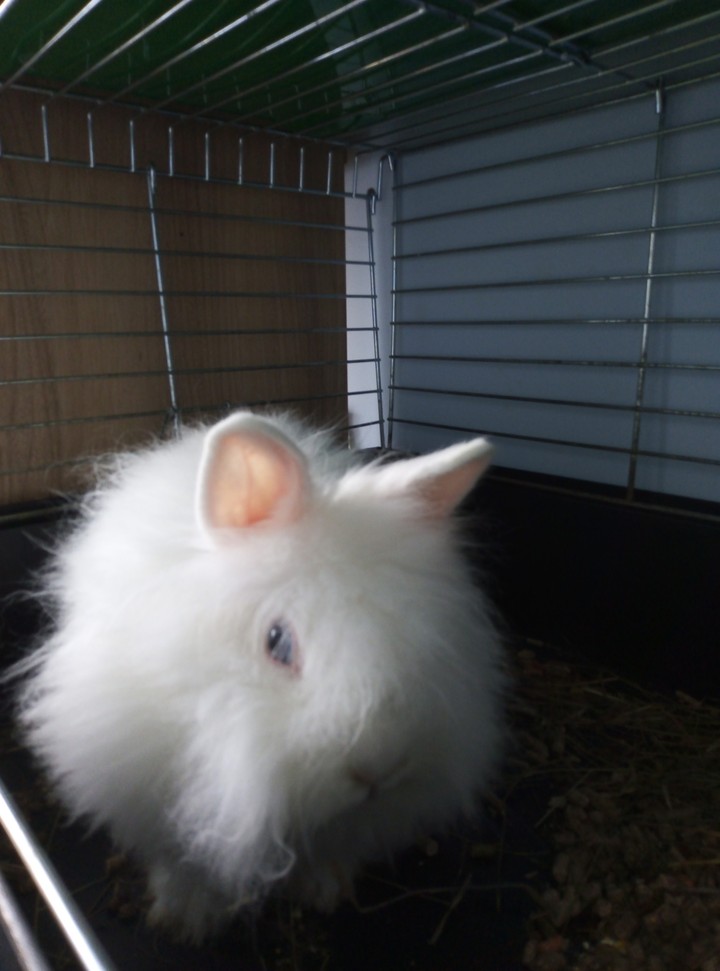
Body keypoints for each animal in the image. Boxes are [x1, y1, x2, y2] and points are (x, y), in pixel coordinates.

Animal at [16, 410, 506, 943]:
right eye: (277, 642)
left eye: (418, 636)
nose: (379, 768)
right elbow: (181, 859)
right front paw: (188, 917)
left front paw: (325, 890)